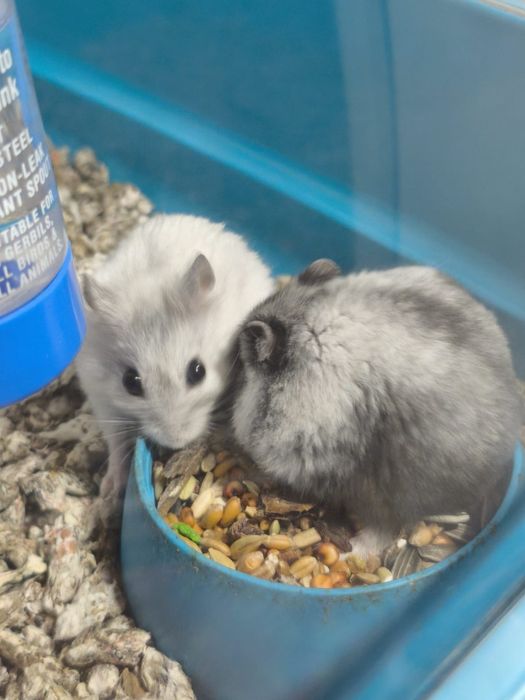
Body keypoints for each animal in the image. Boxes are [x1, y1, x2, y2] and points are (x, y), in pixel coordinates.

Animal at [76, 214, 274, 501]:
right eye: (130, 382)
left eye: (198, 371)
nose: (176, 442)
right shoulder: (102, 399)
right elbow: (116, 443)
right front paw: (108, 491)